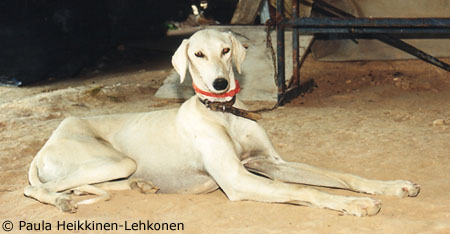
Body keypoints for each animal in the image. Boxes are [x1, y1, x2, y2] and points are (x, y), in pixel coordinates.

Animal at [23, 28, 418, 216]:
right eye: (197, 54)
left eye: (226, 50)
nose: (220, 85)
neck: (224, 114)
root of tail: (48, 142)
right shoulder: (238, 180)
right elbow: (307, 191)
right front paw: (354, 204)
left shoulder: (271, 163)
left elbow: (342, 176)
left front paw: (391, 186)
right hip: (115, 160)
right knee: (35, 190)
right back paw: (61, 202)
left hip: (119, 166)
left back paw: (140, 186)